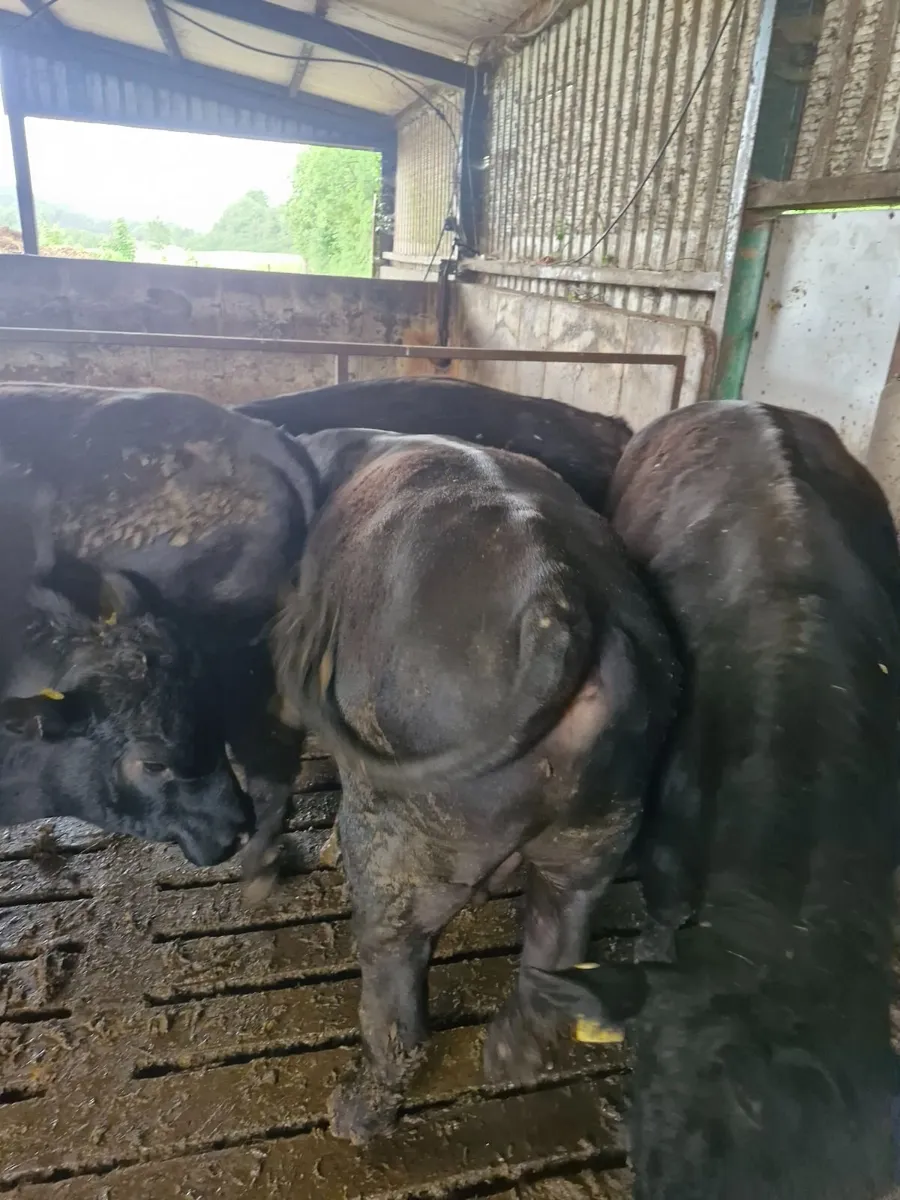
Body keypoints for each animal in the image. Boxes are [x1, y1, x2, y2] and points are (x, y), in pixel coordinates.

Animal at [273, 428, 679, 1145]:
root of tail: (557, 602)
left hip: (405, 840)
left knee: (396, 974)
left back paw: (351, 1116)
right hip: (599, 828)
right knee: (557, 934)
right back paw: (507, 1059)